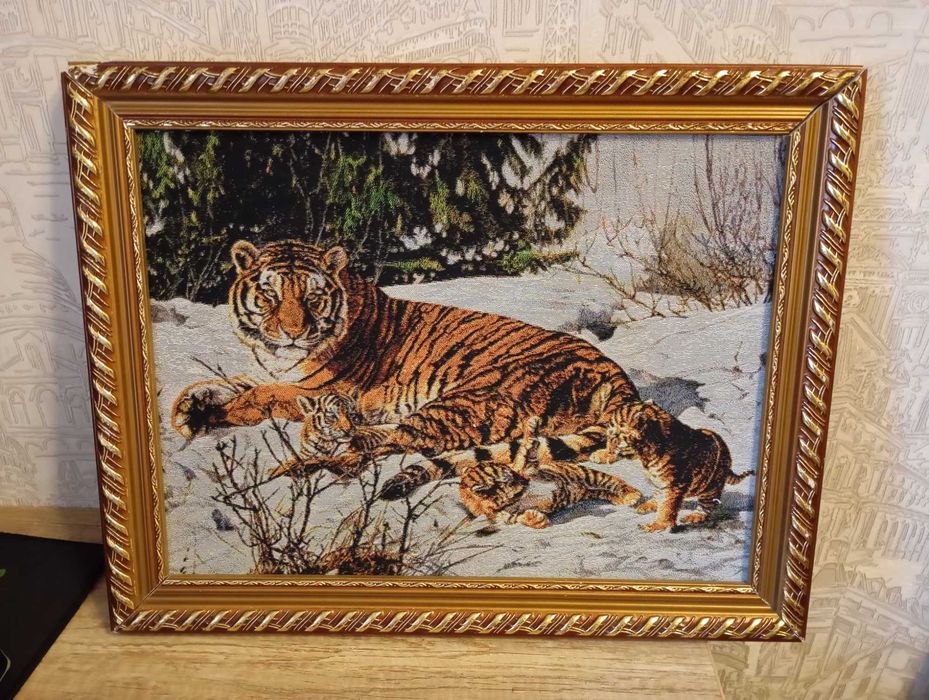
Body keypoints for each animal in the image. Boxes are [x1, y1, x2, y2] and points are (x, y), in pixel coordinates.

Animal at [170, 239, 640, 498]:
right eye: (270, 295)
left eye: (312, 297)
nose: (292, 332)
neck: (278, 357)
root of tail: (618, 377)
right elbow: (233, 381)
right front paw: (189, 406)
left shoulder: (320, 390)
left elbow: (257, 395)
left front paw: (210, 413)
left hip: (466, 399)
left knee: (379, 448)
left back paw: (293, 466)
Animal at [458, 417, 642, 529]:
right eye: (509, 480)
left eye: (509, 472)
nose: (525, 480)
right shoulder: (502, 516)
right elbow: (518, 518)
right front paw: (536, 519)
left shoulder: (528, 467)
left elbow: (524, 452)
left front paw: (531, 425)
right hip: (590, 490)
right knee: (606, 491)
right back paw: (623, 499)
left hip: (587, 475)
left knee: (615, 482)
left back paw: (632, 494)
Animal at [598, 400, 754, 532]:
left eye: (614, 436)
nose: (608, 450)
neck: (647, 454)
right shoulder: (658, 481)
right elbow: (660, 498)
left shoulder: (674, 485)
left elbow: (667, 507)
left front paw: (658, 525)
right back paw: (647, 505)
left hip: (711, 486)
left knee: (707, 505)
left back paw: (694, 516)